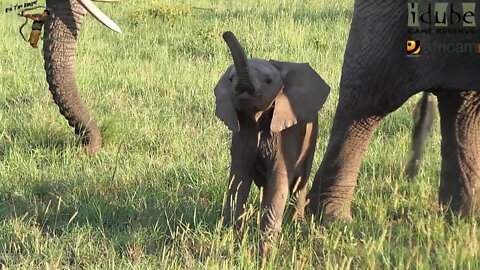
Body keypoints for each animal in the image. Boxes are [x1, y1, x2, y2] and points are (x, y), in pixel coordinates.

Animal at [214, 31, 330, 253]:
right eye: (230, 79)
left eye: (268, 81)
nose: (225, 33)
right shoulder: (243, 133)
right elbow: (238, 180)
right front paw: (230, 240)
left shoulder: (287, 136)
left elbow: (279, 181)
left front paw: (266, 251)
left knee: (301, 181)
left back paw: (297, 224)